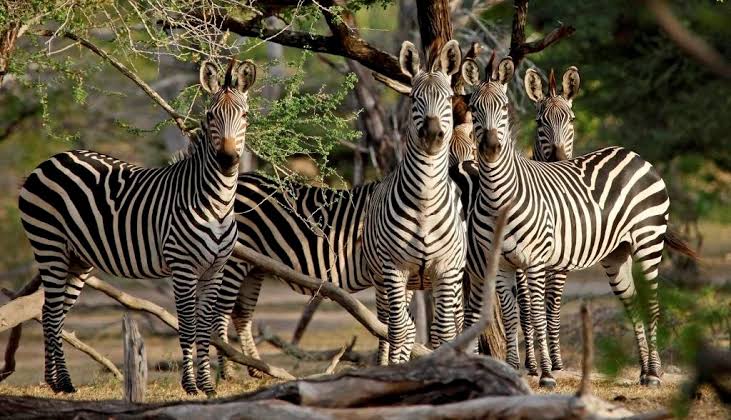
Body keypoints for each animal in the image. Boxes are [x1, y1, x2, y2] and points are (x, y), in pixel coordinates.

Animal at [18, 59, 256, 395]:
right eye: (210, 116)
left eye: (245, 116)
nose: (227, 159)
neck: (218, 204)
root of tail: (52, 159)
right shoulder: (182, 267)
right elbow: (188, 326)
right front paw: (190, 386)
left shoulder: (215, 269)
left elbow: (205, 328)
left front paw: (208, 386)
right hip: (48, 245)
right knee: (51, 314)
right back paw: (64, 383)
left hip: (77, 259)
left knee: (51, 311)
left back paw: (53, 381)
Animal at [362, 39, 466, 364]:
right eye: (414, 99)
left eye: (448, 98)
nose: (432, 135)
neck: (424, 202)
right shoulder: (393, 268)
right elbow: (398, 331)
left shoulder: (445, 269)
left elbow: (443, 333)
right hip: (387, 280)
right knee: (395, 326)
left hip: (455, 278)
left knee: (456, 324)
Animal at [458, 54, 694, 388]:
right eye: (474, 107)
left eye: (503, 108)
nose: (491, 148)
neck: (497, 196)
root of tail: (634, 155)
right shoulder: (502, 264)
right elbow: (513, 315)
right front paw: (515, 370)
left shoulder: (537, 260)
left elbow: (539, 313)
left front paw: (546, 372)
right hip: (616, 253)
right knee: (633, 302)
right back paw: (644, 371)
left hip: (648, 241)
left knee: (651, 304)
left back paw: (655, 374)